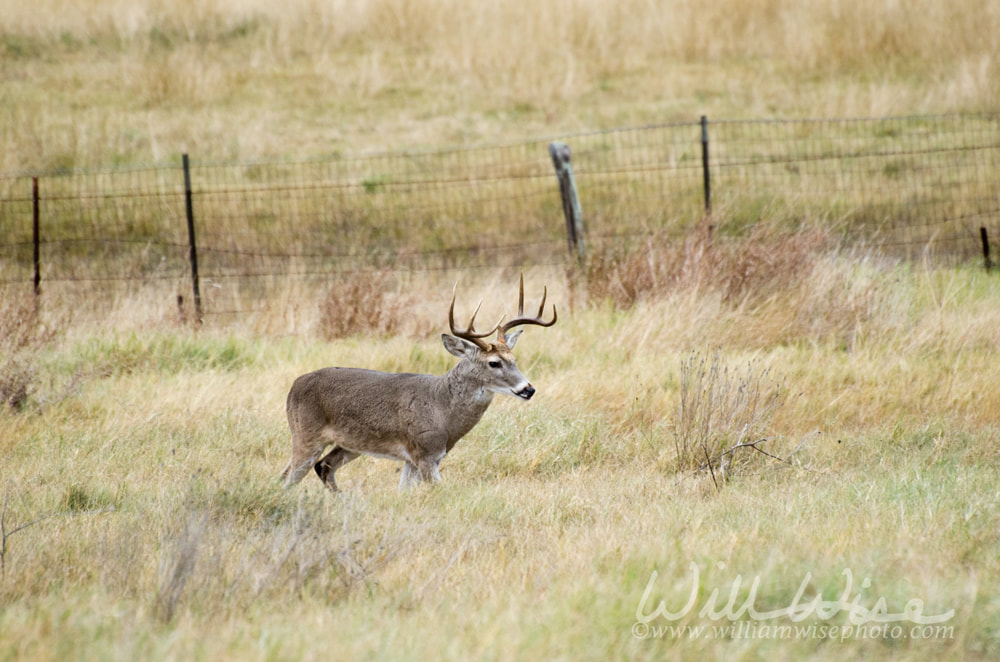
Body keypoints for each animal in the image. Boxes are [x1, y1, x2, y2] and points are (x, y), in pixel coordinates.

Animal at [282, 276, 560, 492]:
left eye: (514, 359)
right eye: (494, 363)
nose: (528, 389)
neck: (442, 409)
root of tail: (294, 385)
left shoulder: (417, 459)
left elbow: (403, 492)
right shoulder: (424, 453)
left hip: (349, 444)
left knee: (323, 467)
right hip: (305, 434)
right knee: (288, 477)